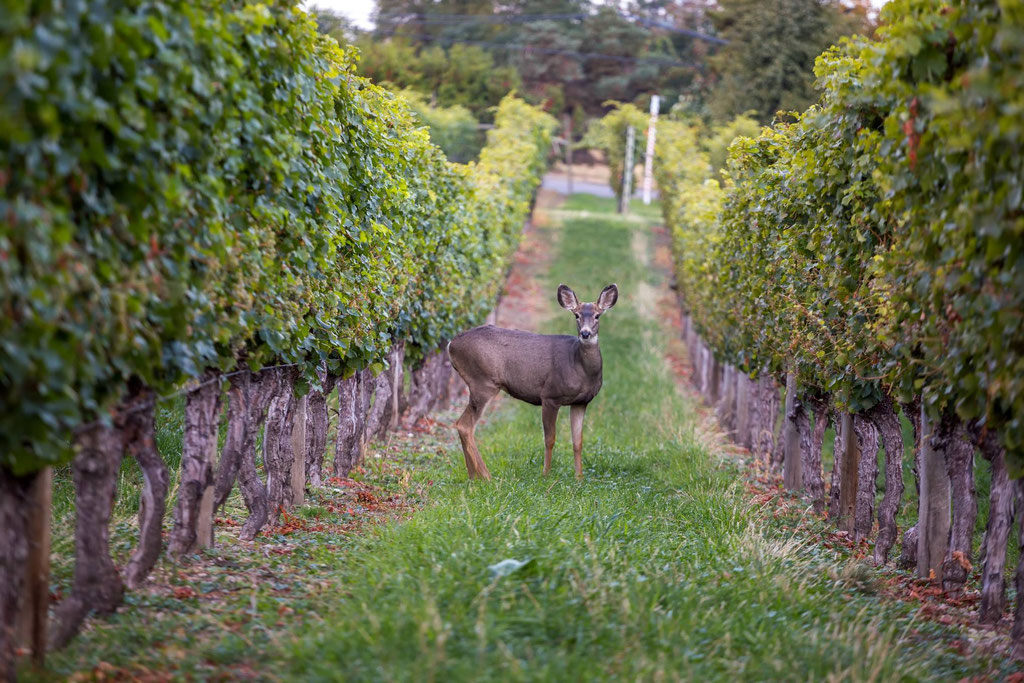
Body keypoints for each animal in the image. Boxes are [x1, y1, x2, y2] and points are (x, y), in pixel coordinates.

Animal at [447, 283, 618, 480]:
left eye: (597, 315)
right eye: (576, 315)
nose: (585, 333)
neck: (578, 366)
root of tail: (451, 345)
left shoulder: (581, 402)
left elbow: (578, 441)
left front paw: (579, 478)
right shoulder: (550, 395)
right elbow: (549, 439)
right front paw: (546, 474)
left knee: (462, 425)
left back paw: (473, 477)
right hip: (482, 382)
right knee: (465, 425)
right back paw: (487, 476)